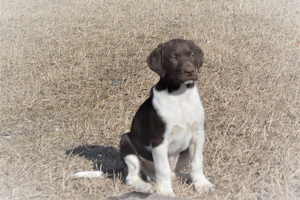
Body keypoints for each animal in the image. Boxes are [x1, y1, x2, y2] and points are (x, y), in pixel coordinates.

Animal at [72, 39, 214, 197]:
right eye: (174, 57)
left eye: (192, 55)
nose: (190, 71)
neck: (180, 96)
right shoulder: (159, 141)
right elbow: (163, 170)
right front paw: (166, 193)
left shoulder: (198, 135)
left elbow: (197, 164)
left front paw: (202, 184)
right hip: (127, 144)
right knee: (133, 176)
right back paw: (145, 186)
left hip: (184, 155)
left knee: (172, 173)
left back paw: (185, 177)